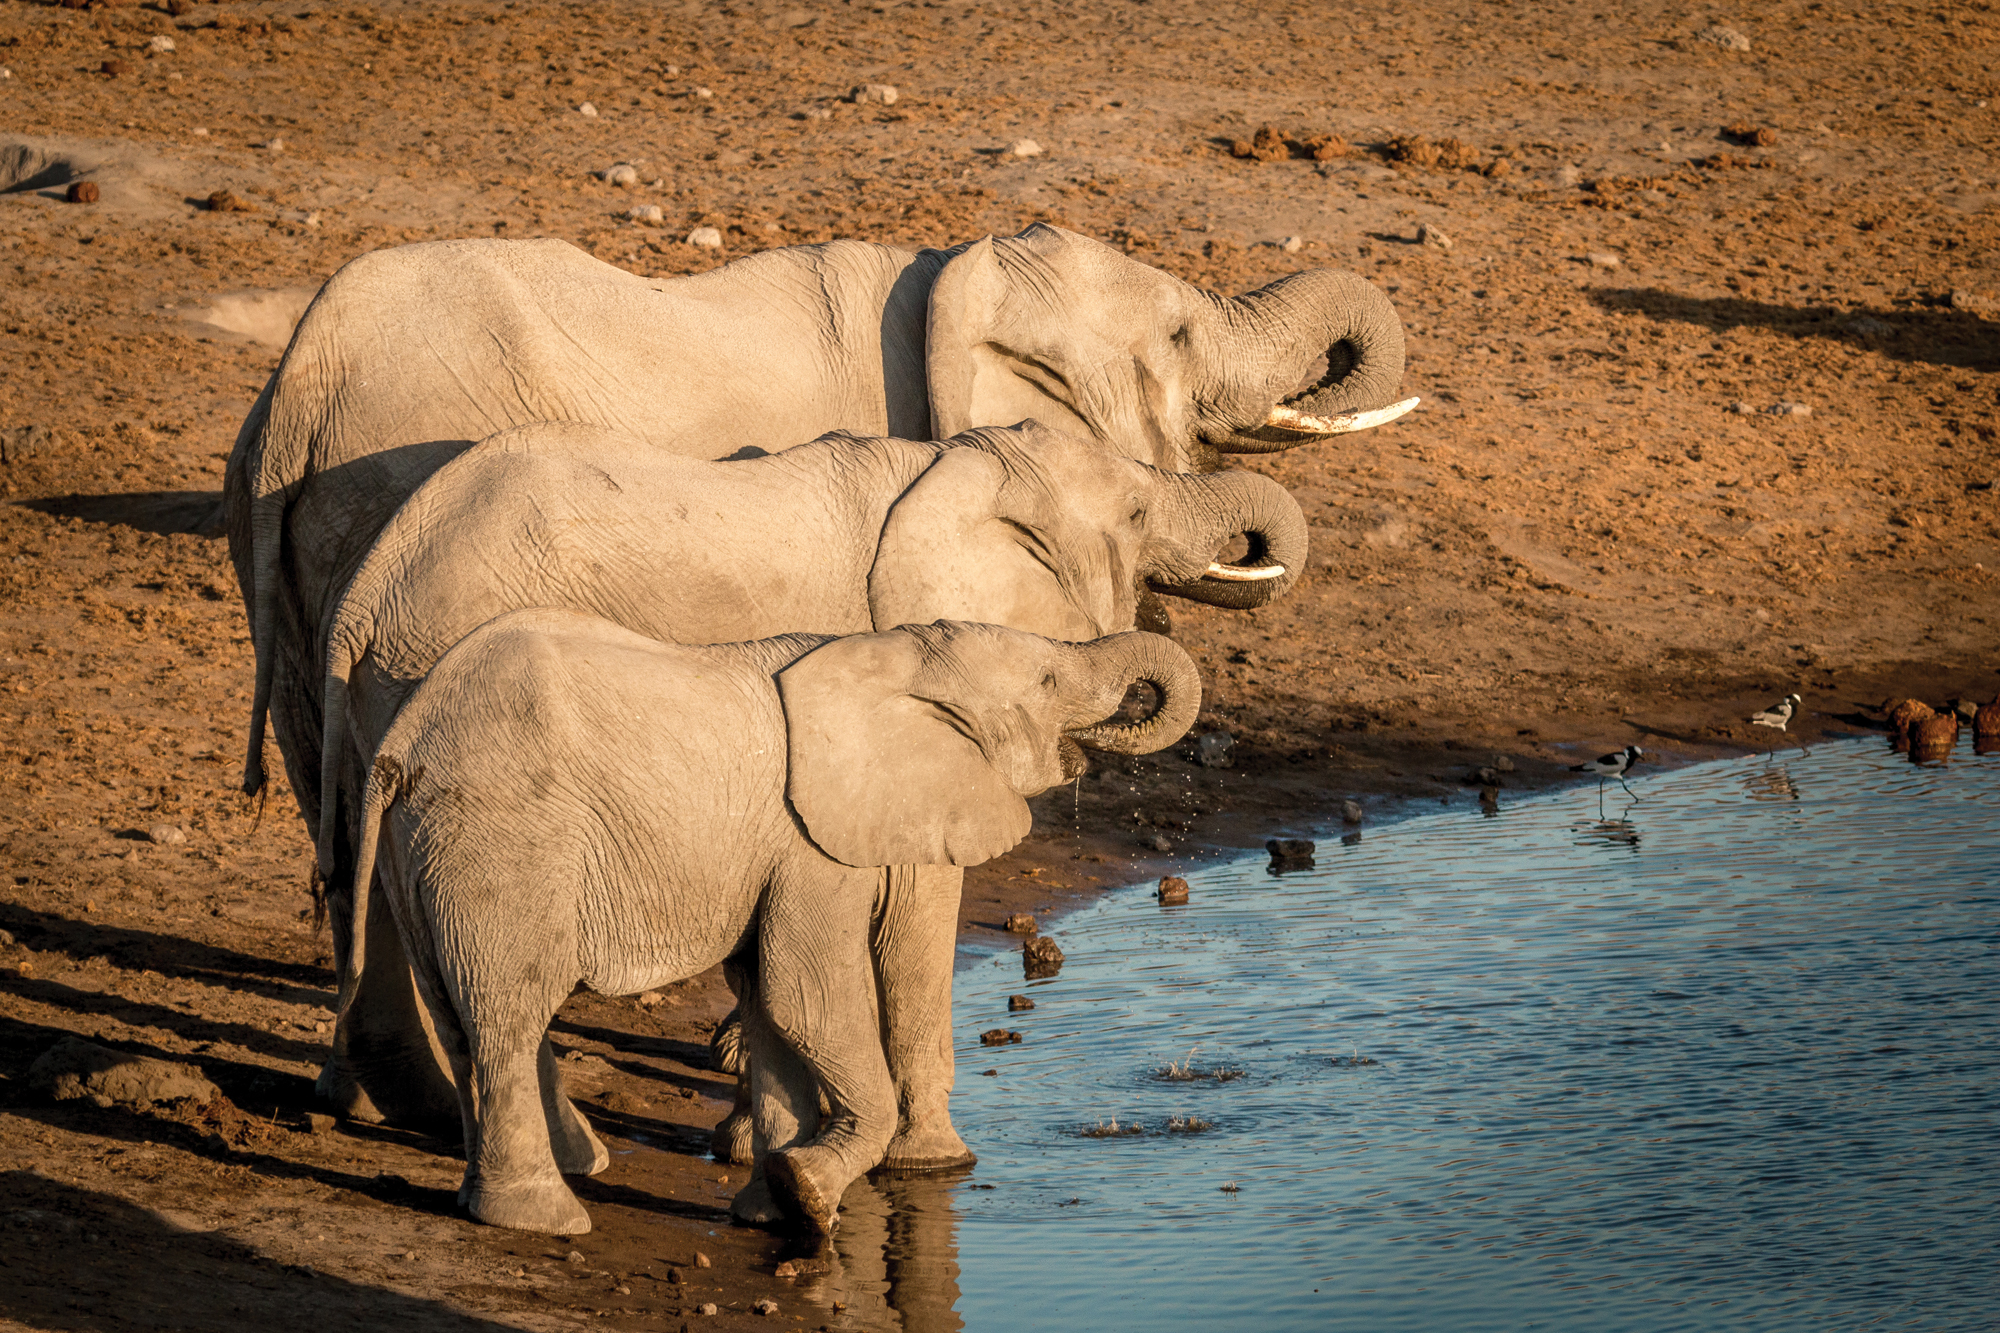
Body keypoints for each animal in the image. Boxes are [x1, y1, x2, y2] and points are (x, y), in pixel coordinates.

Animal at [300, 416, 1296, 1160]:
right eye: (1136, 508)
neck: (954, 462)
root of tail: (365, 589)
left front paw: (757, 1140)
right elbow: (917, 906)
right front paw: (933, 1161)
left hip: (389, 710)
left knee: (374, 886)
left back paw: (395, 1107)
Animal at [344, 608, 1200, 1232]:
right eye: (1049, 679)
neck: (890, 654)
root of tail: (399, 743)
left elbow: (771, 1001)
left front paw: (775, 1209)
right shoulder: (812, 843)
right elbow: (807, 997)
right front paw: (815, 1192)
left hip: (421, 848)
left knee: (461, 1018)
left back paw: (509, 1197)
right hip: (501, 845)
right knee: (508, 1015)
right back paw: (545, 1220)